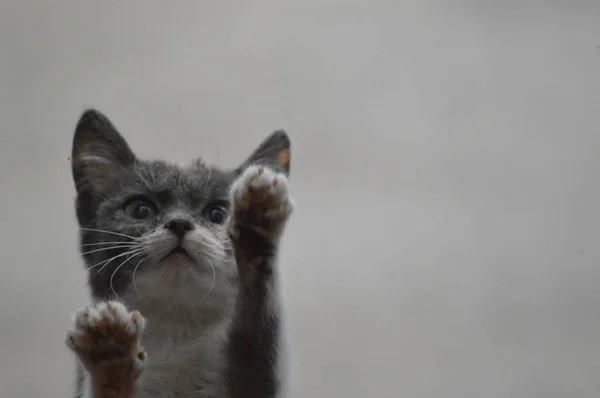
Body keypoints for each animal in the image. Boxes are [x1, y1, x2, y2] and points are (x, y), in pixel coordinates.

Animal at [64, 109, 294, 398]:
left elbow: (258, 323)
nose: (179, 223)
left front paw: (258, 222)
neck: (178, 328)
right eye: (141, 209)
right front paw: (110, 354)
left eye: (218, 213)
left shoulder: (257, 381)